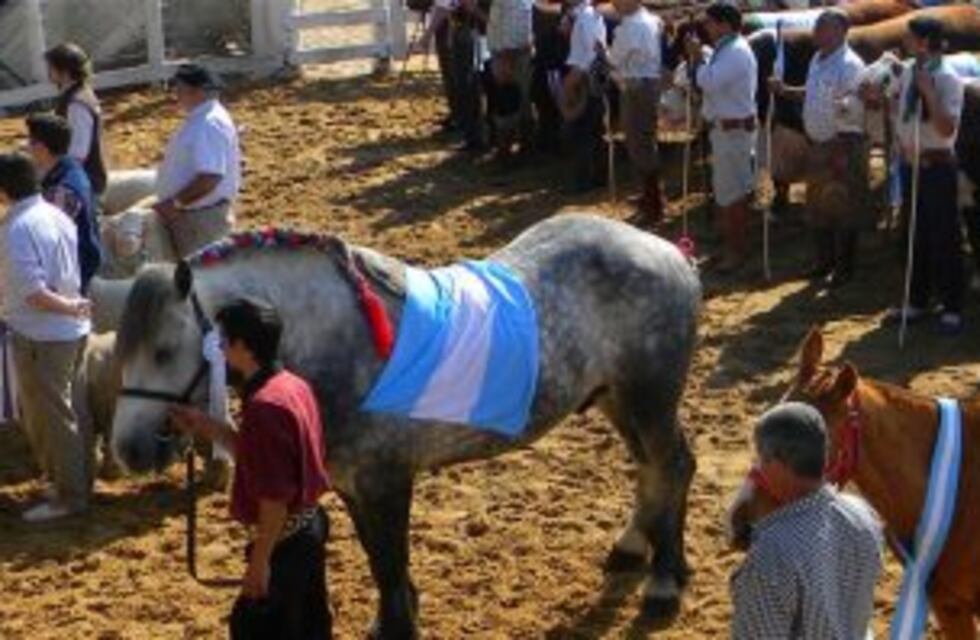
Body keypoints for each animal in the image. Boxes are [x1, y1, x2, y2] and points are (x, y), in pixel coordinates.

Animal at [110, 213, 702, 638]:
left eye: (164, 351)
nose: (128, 449)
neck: (341, 337)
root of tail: (667, 251)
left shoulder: (386, 482)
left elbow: (391, 565)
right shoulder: (352, 485)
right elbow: (379, 562)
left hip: (649, 397)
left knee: (672, 465)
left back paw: (664, 580)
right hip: (616, 399)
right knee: (653, 468)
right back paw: (634, 546)